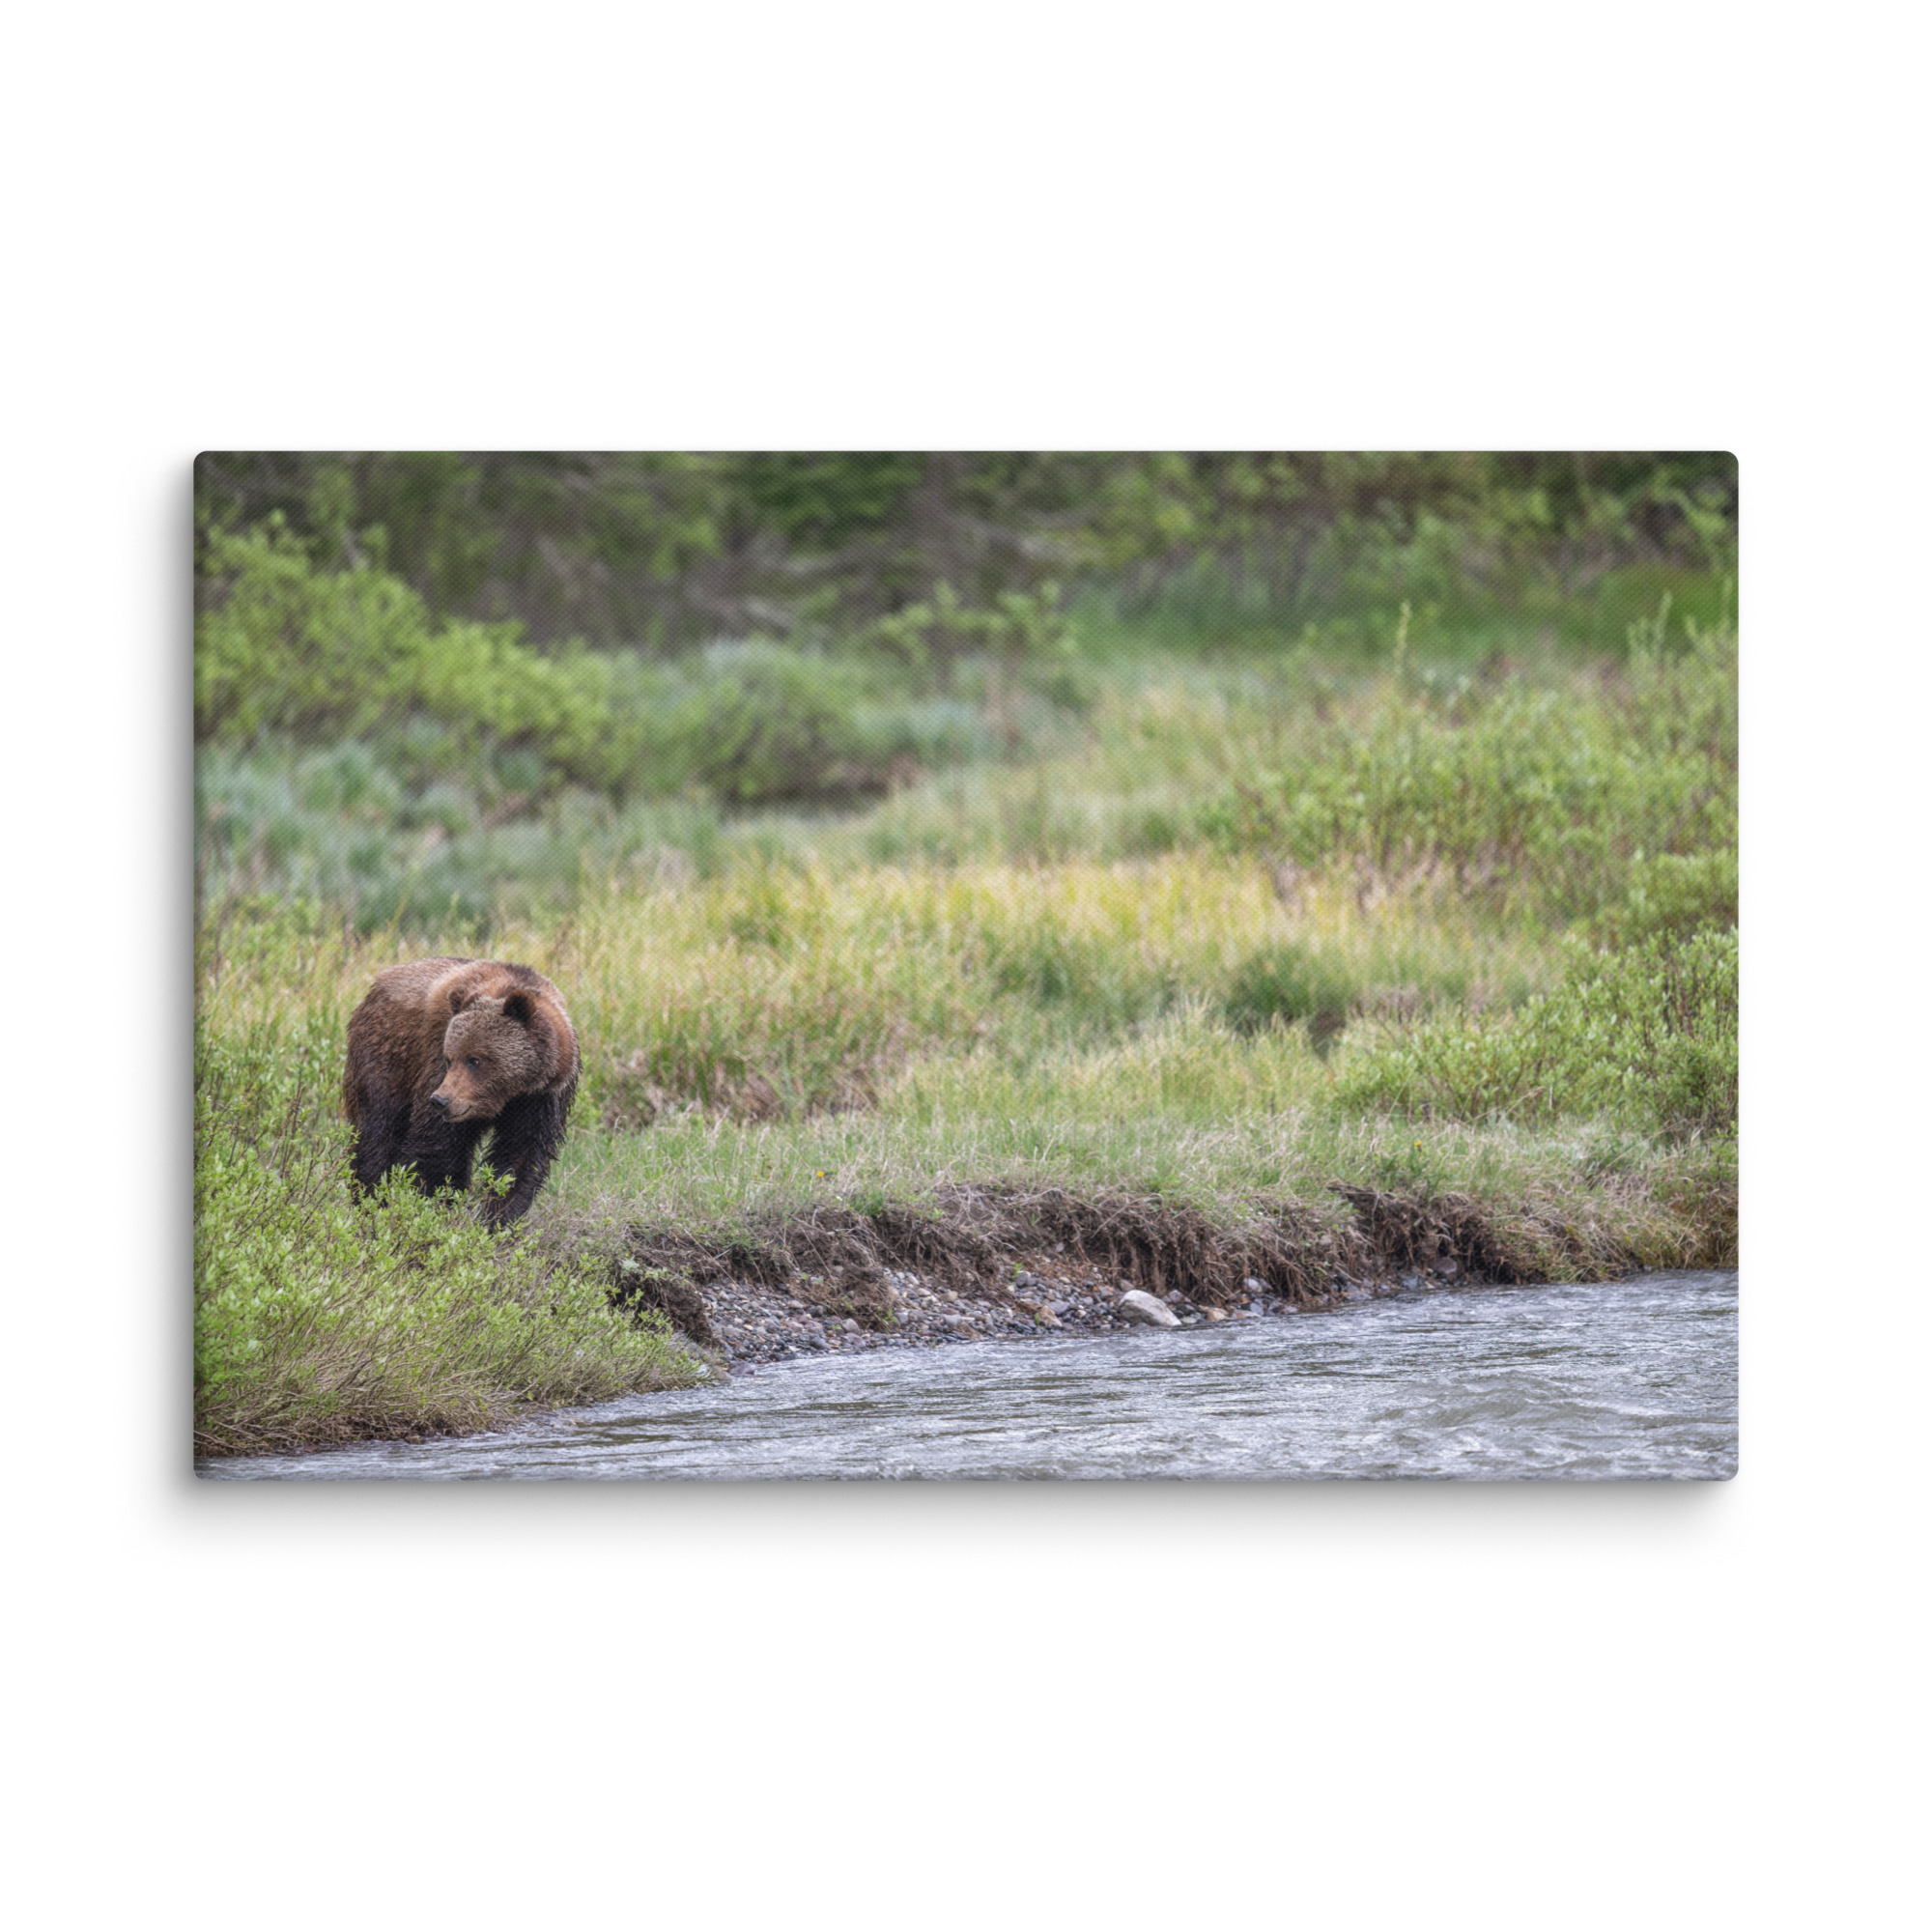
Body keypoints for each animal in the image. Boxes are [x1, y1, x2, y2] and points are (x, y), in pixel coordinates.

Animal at [342, 956, 579, 1228]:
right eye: (450, 1058)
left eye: (475, 1060)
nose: (440, 1100)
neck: (510, 1093)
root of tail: (378, 983)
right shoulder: (435, 1061)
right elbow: (437, 1148)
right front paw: (434, 1207)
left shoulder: (541, 1099)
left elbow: (520, 1156)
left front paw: (498, 1218)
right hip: (386, 1058)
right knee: (376, 1132)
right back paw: (370, 1202)